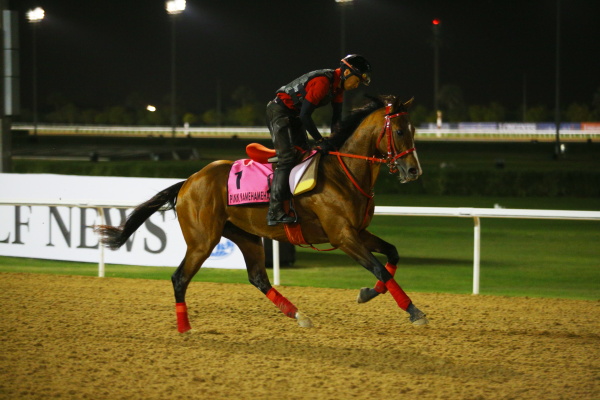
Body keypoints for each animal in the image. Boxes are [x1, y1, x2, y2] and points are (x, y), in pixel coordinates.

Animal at [96, 95, 428, 332]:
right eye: (400, 130)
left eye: (414, 130)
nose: (414, 171)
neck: (342, 172)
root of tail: (189, 181)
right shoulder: (342, 235)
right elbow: (380, 268)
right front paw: (414, 311)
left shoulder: (358, 231)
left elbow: (392, 256)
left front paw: (368, 293)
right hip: (203, 240)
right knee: (179, 278)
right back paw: (184, 326)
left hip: (247, 236)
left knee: (258, 277)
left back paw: (299, 315)